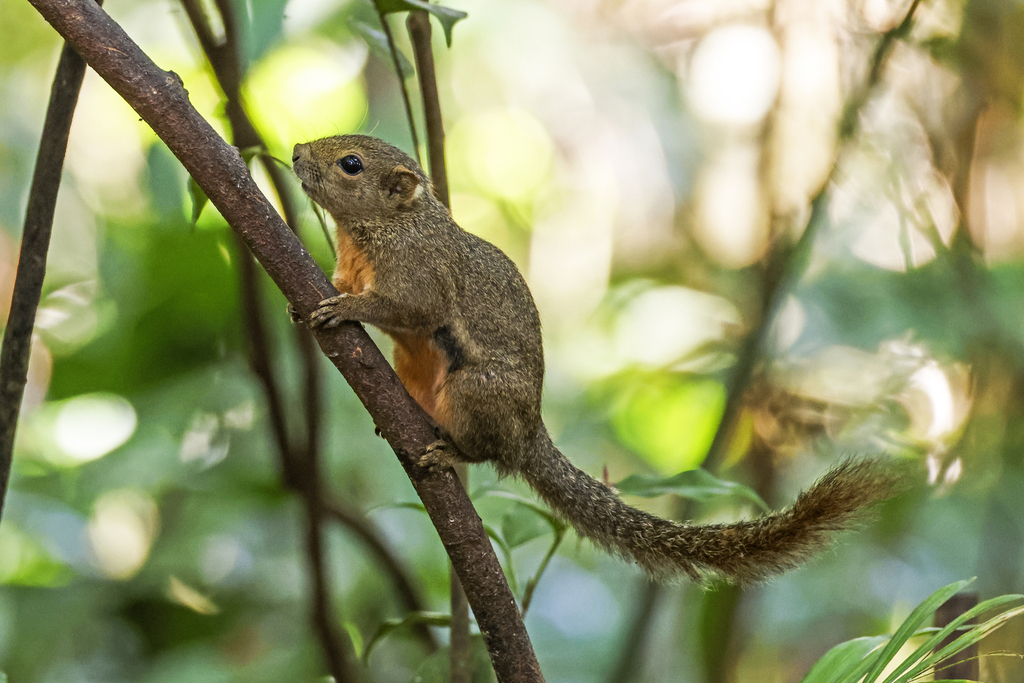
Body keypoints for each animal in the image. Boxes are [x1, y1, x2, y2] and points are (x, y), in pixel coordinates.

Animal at [291, 134, 905, 583]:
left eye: (351, 164)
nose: (295, 152)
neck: (385, 226)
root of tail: (529, 433)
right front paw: (315, 301)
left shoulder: (421, 269)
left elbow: (409, 308)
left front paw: (348, 308)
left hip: (476, 390)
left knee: (488, 451)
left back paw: (449, 452)